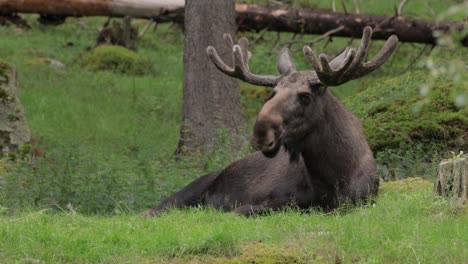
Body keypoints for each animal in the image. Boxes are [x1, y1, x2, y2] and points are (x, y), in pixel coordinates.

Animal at [144, 26, 398, 216]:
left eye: (305, 96)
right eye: (273, 92)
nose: (261, 134)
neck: (333, 175)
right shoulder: (275, 201)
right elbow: (240, 210)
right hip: (190, 190)